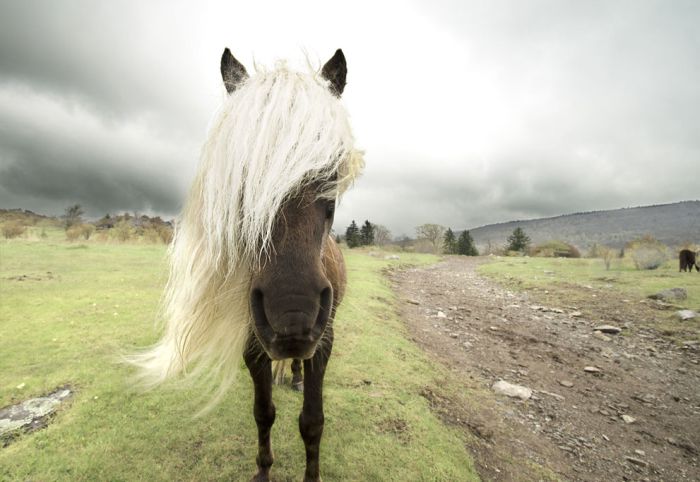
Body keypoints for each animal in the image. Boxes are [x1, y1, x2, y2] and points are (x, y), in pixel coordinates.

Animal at [128, 50, 364, 482]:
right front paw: (263, 470)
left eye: (332, 171)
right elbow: (263, 413)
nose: (292, 314)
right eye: (240, 174)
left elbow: (312, 422)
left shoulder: (323, 342)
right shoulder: (253, 344)